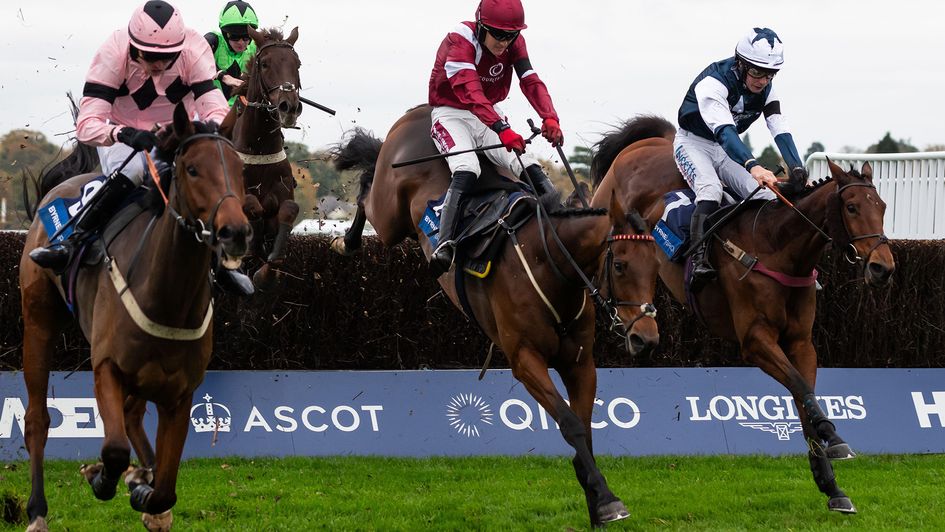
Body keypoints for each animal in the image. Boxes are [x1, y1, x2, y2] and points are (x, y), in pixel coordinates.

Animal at [22, 104, 251, 532]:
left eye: (239, 168)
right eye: (192, 169)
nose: (236, 232)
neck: (167, 296)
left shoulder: (181, 392)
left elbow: (166, 485)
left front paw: (146, 492)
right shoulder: (107, 368)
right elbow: (113, 449)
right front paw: (102, 477)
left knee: (132, 416)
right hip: (38, 321)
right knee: (37, 420)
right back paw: (37, 510)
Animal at [219, 27, 300, 288]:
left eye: (297, 64)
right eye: (264, 64)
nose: (289, 107)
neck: (260, 150)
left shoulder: (284, 194)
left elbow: (289, 209)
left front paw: (266, 271)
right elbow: (252, 206)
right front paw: (251, 247)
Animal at [328, 105, 632, 528]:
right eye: (620, 266)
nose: (645, 333)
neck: (548, 260)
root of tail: (420, 110)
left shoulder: (579, 361)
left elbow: (585, 428)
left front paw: (596, 499)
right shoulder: (525, 360)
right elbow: (570, 424)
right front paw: (604, 497)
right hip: (390, 214)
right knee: (366, 189)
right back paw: (346, 240)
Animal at [592, 114, 896, 512]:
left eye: (883, 206)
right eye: (852, 208)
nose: (883, 267)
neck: (776, 248)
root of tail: (653, 142)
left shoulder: (801, 342)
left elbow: (804, 398)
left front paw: (831, 485)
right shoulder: (755, 340)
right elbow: (801, 388)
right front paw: (834, 436)